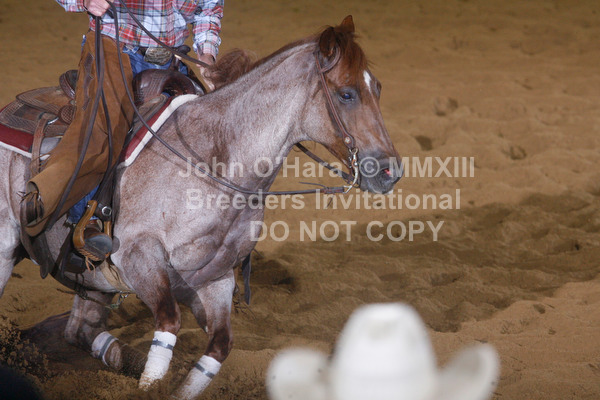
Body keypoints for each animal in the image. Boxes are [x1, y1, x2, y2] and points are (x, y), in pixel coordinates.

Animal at [0, 15, 400, 399]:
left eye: (379, 88)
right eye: (346, 94)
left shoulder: (215, 279)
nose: (390, 171)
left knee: (79, 330)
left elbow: (219, 347)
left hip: (93, 282)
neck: (214, 164)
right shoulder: (139, 256)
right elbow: (168, 323)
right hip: (8, 249)